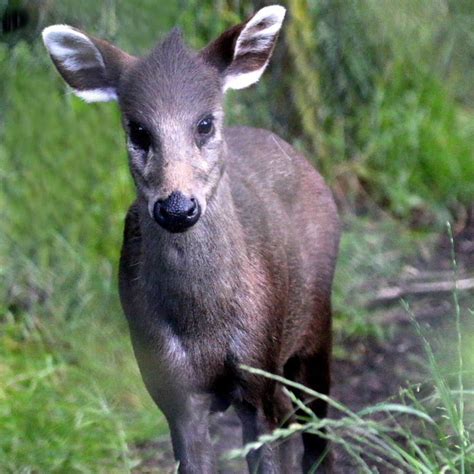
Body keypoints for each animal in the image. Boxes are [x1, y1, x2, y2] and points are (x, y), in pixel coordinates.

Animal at [42, 4, 340, 474]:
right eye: (138, 130)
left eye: (204, 123)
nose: (177, 207)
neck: (205, 326)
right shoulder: (171, 387)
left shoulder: (258, 368)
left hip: (314, 327)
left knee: (316, 426)